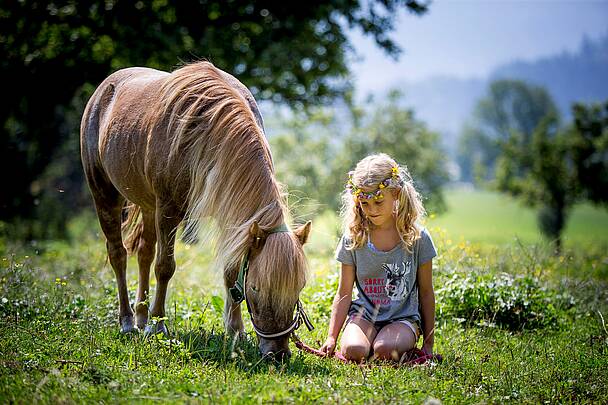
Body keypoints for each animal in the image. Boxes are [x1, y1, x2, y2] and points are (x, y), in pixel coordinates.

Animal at [79, 60, 314, 356]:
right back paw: (129, 321)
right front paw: (158, 326)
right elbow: (165, 267)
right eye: (257, 288)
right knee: (118, 255)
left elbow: (230, 272)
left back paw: (142, 316)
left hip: (148, 206)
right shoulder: (168, 210)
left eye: (299, 286)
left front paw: (236, 331)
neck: (208, 132)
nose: (278, 353)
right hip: (105, 195)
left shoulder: (232, 218)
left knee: (144, 253)